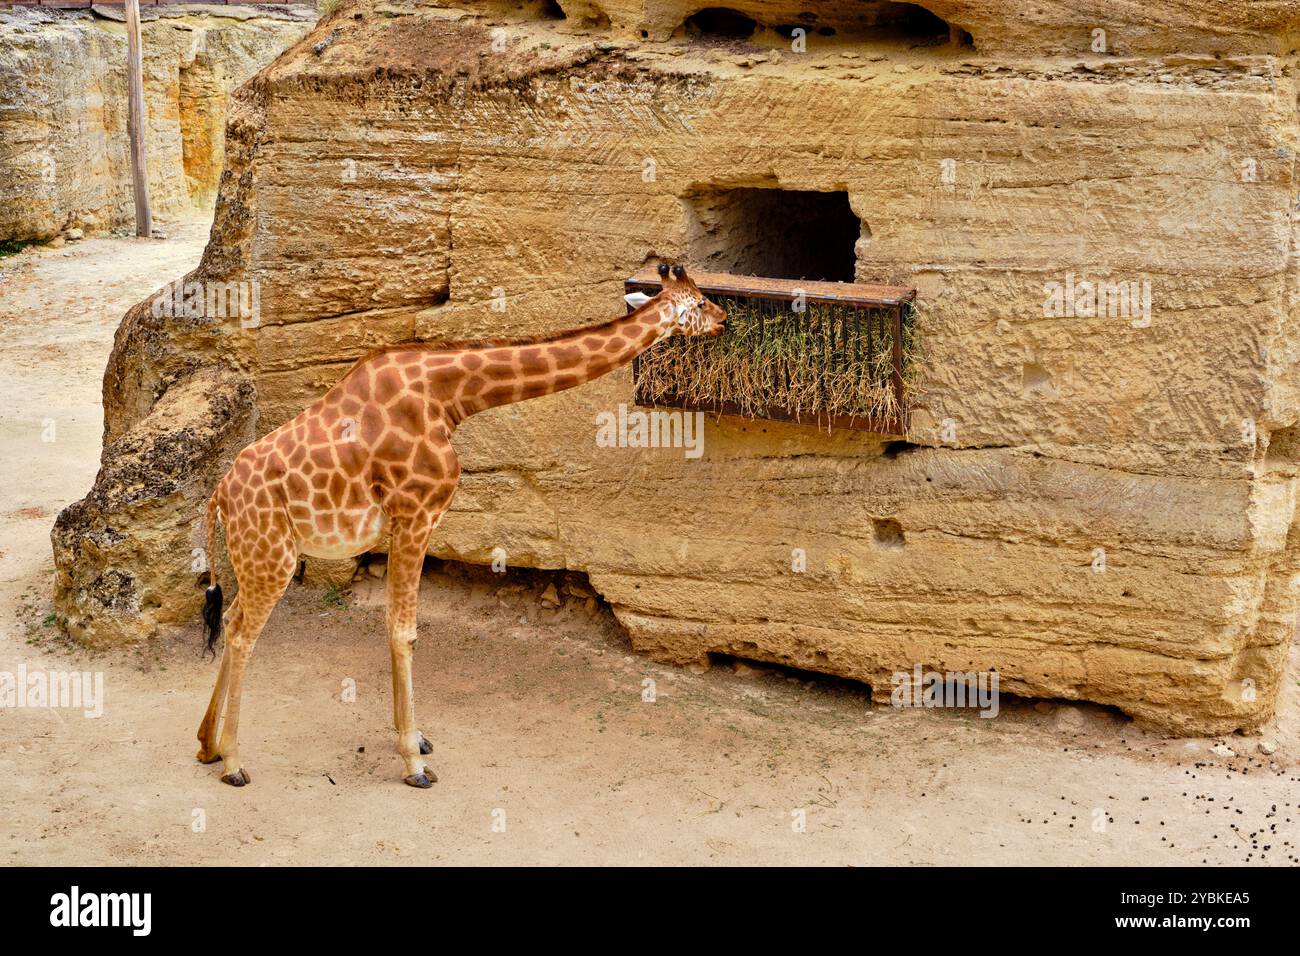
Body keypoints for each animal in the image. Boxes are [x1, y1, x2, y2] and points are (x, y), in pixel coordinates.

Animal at [196, 265, 728, 790]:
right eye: (700, 302)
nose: (724, 320)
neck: (449, 397)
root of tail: (219, 495)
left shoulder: (411, 523)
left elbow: (398, 625)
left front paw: (414, 738)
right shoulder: (415, 515)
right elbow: (404, 630)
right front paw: (413, 763)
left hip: (256, 557)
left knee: (230, 617)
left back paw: (206, 744)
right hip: (272, 556)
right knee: (242, 634)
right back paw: (233, 761)